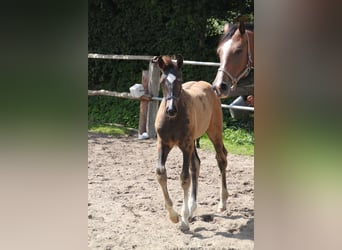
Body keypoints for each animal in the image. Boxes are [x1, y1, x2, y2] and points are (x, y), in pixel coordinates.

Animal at [154, 55, 228, 231]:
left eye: (180, 80)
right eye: (162, 81)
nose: (171, 110)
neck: (173, 119)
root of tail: (210, 87)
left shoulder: (185, 145)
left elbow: (184, 178)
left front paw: (184, 221)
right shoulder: (163, 144)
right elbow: (161, 173)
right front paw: (174, 216)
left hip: (214, 133)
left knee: (221, 160)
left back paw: (222, 203)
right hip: (194, 141)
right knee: (197, 164)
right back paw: (192, 208)